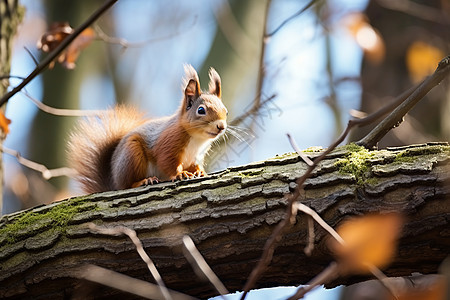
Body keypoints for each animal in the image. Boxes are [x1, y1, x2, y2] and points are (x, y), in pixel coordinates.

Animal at [67, 64, 227, 193]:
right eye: (201, 110)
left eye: (225, 111)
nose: (221, 126)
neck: (197, 139)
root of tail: (114, 181)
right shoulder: (168, 143)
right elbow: (167, 162)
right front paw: (179, 174)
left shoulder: (196, 156)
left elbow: (195, 165)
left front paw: (200, 171)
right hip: (131, 155)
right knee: (127, 185)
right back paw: (144, 181)